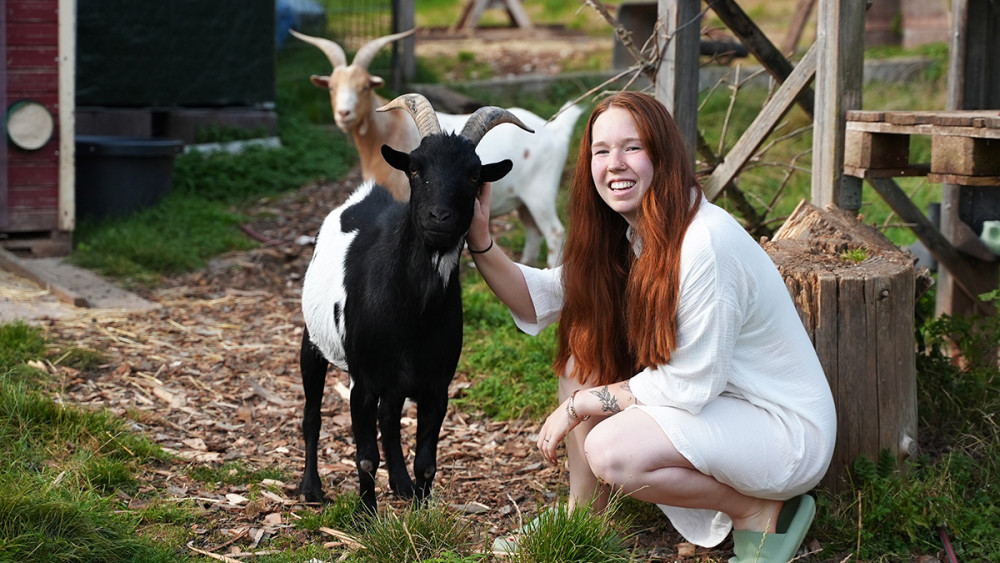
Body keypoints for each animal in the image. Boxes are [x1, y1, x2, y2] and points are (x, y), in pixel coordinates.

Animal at [290, 29, 580, 268]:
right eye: (331, 87)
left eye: (364, 88)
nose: (343, 114)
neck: (390, 128)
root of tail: (554, 130)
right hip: (523, 201)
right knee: (533, 232)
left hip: (540, 193)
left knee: (555, 233)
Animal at [296, 93, 532, 516]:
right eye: (416, 168)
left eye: (474, 176)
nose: (439, 217)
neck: (411, 311)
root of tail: (364, 194)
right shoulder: (363, 380)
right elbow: (365, 456)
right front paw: (365, 518)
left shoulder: (436, 385)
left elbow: (427, 460)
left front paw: (421, 514)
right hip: (313, 341)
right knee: (312, 415)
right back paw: (311, 488)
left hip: (397, 379)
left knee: (389, 419)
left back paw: (401, 484)